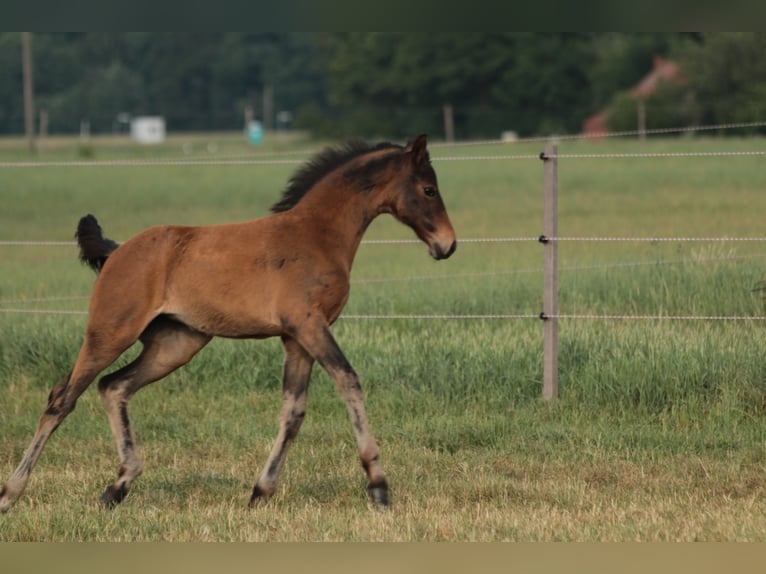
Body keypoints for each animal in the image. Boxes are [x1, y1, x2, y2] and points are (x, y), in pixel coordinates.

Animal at [0, 134, 456, 512]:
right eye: (428, 189)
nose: (448, 245)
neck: (317, 234)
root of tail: (117, 251)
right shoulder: (309, 325)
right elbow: (348, 381)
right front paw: (379, 487)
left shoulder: (296, 338)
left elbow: (293, 411)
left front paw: (260, 493)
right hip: (110, 332)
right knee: (62, 398)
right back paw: (11, 494)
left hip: (176, 344)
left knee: (113, 386)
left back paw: (118, 486)